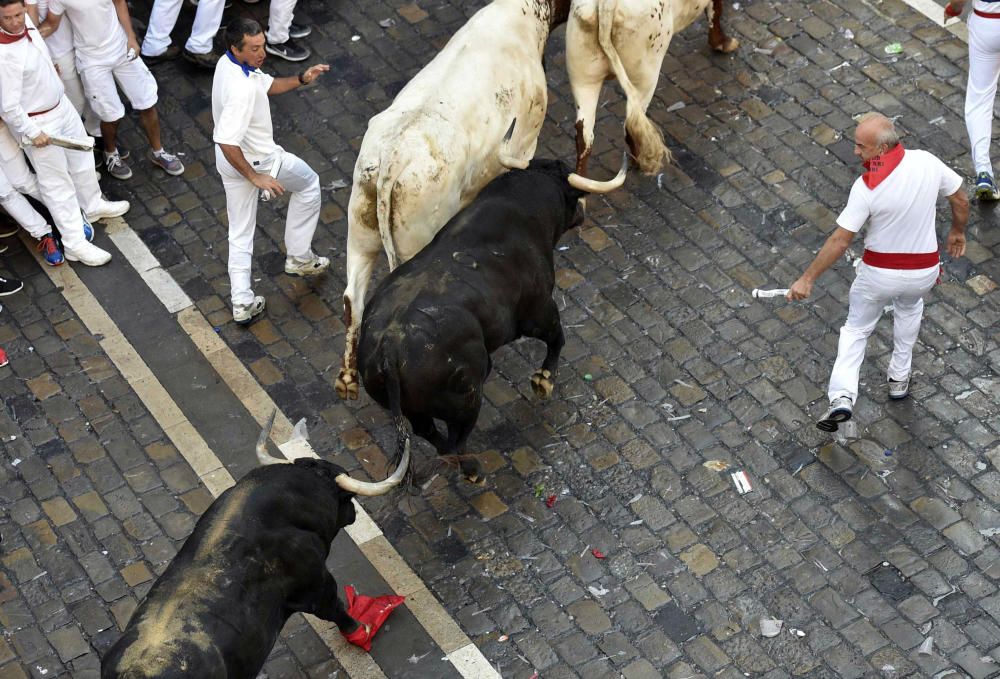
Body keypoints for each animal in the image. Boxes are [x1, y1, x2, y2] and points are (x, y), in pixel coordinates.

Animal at [336, 0, 576, 402]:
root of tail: (393, 160)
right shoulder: (525, 142)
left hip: (360, 228)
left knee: (351, 299)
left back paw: (347, 380)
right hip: (413, 239)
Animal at [360, 158, 592, 484]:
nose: (583, 210)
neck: (521, 205)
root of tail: (389, 349)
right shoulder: (538, 310)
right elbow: (557, 337)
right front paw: (543, 381)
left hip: (418, 409)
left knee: (431, 434)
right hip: (466, 399)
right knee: (457, 440)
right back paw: (473, 471)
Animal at [568, 0, 740, 178]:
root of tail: (606, 6)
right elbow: (716, 11)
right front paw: (723, 43)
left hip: (584, 81)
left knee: (584, 137)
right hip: (646, 77)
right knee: (632, 124)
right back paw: (643, 163)